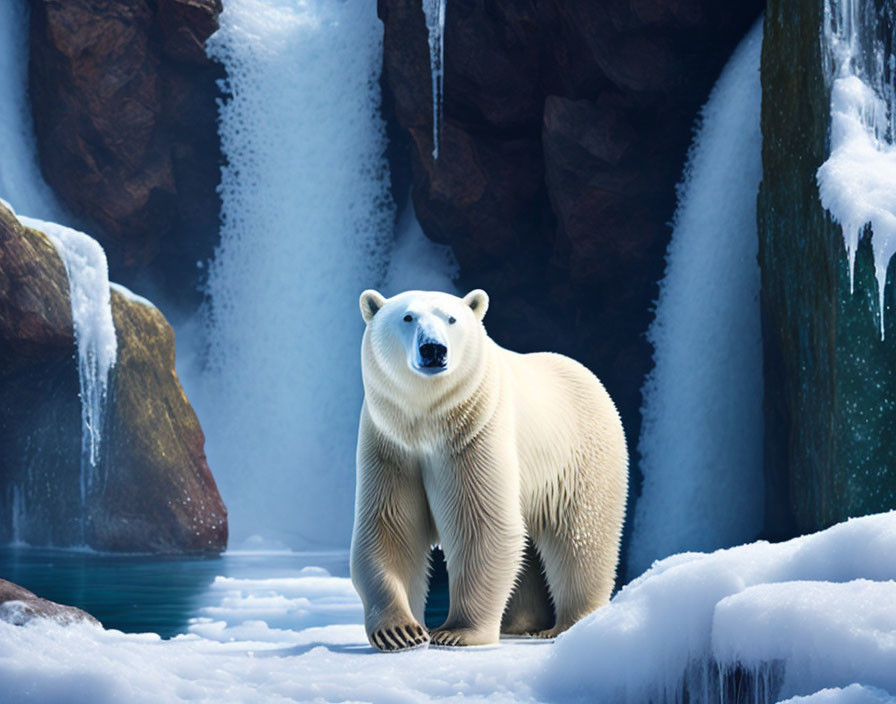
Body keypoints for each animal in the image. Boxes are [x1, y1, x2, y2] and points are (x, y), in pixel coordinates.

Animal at [346, 288, 628, 652]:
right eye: (407, 317)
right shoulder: (390, 444)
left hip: (581, 457)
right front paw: (402, 632)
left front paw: (455, 632)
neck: (427, 422)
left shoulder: (475, 432)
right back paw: (518, 623)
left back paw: (569, 623)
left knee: (582, 537)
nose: (433, 349)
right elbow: (390, 528)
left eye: (451, 318)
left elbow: (481, 527)